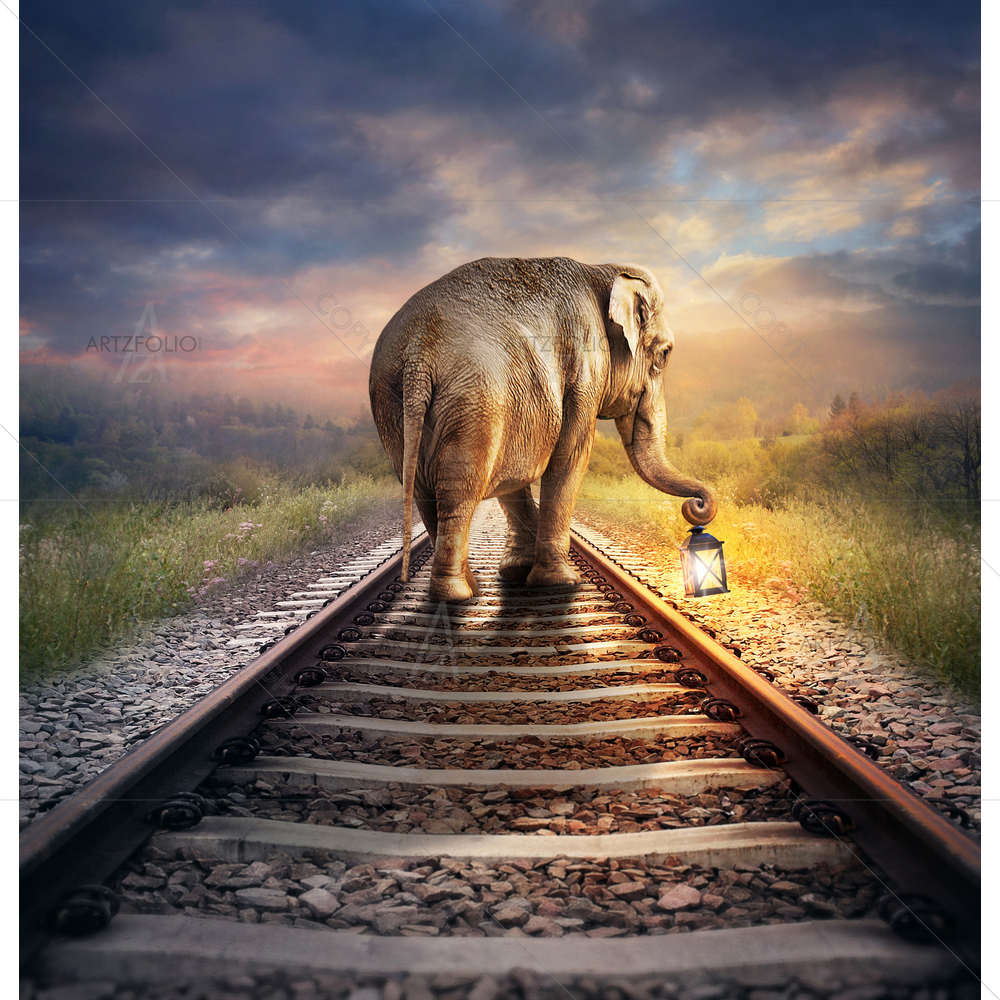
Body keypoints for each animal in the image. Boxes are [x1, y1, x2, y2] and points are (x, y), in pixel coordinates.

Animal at [368, 256, 717, 602]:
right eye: (665, 354)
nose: (696, 505)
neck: (602, 270)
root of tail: (418, 351)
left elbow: (514, 475)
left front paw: (518, 572)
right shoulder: (585, 365)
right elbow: (569, 458)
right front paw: (561, 583)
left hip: (393, 404)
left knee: (422, 488)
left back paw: (467, 588)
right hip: (475, 400)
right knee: (459, 490)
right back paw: (457, 596)